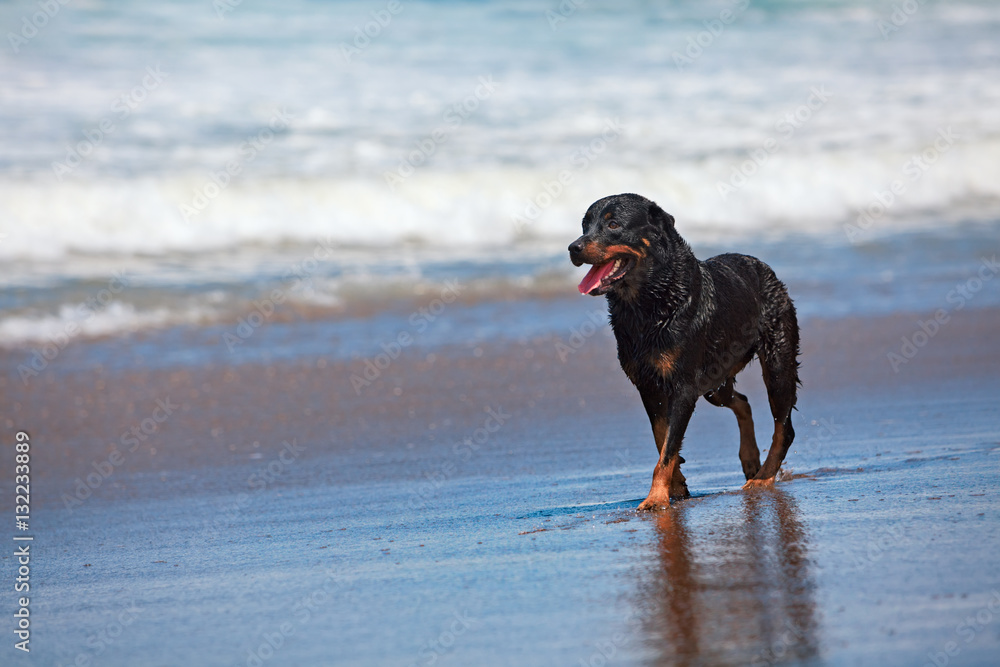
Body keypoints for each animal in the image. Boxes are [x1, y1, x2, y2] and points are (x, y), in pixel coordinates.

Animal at [568, 193, 800, 512]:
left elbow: (668, 446)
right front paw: (676, 485)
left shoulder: (683, 386)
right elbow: (661, 438)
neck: (651, 301)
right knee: (741, 401)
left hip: (777, 356)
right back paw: (750, 458)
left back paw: (763, 477)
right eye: (585, 225)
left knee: (783, 426)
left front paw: (655, 497)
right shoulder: (648, 384)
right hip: (714, 378)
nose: (573, 247)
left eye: (613, 224)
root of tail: (765, 269)